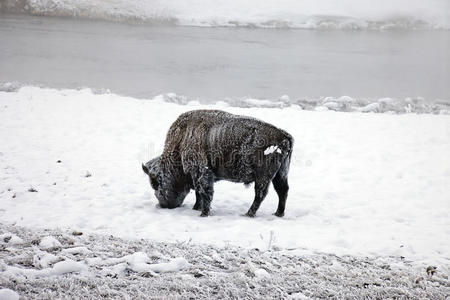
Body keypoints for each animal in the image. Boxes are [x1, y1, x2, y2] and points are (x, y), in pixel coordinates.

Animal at [142, 109, 294, 217]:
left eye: (157, 183)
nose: (163, 205)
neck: (180, 143)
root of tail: (284, 136)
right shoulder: (197, 175)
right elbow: (199, 193)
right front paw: (196, 208)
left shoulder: (201, 172)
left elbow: (205, 192)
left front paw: (203, 213)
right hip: (280, 174)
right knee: (282, 191)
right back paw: (278, 213)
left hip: (263, 177)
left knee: (260, 194)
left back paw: (248, 214)